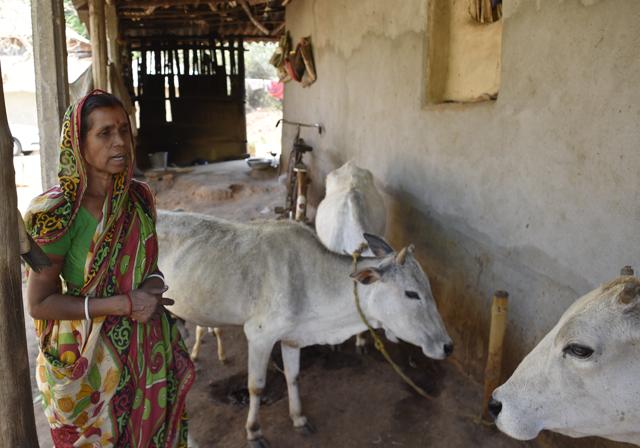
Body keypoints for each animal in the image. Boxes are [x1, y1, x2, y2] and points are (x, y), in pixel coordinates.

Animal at [156, 210, 453, 447]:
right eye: (412, 293)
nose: (448, 346)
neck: (311, 280)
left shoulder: (292, 338)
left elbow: (293, 377)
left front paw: (299, 419)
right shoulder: (259, 335)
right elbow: (256, 386)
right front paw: (254, 432)